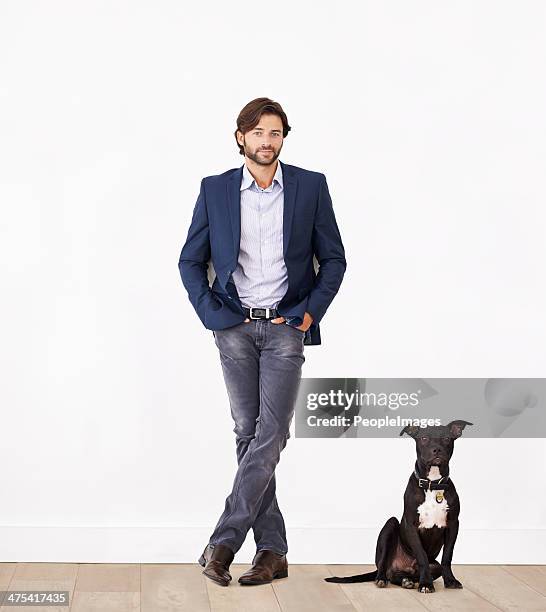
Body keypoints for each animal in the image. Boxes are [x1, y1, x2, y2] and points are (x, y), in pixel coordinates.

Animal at [324, 420, 472, 592]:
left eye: (447, 438)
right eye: (424, 438)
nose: (437, 449)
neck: (432, 484)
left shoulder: (453, 524)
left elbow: (447, 557)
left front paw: (450, 581)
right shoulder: (411, 525)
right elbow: (422, 556)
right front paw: (426, 584)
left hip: (431, 565)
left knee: (408, 574)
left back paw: (407, 581)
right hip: (390, 525)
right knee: (384, 567)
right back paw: (383, 579)